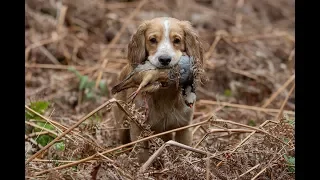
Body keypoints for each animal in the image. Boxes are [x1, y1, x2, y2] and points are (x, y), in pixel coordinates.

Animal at [111, 16, 204, 162]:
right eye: (153, 40)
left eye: (177, 40)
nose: (164, 59)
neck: (164, 93)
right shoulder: (138, 128)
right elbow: (141, 155)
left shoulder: (184, 128)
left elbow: (183, 151)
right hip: (122, 124)